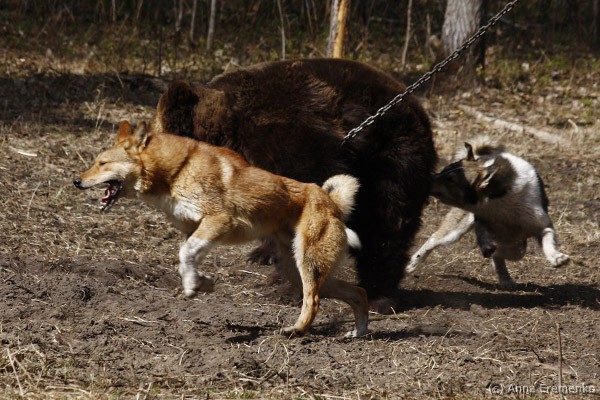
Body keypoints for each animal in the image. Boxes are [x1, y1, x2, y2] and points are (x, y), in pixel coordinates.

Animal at [73, 121, 368, 338]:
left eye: (102, 163)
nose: (76, 181)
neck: (176, 172)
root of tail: (331, 201)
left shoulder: (220, 220)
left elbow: (185, 253)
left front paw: (194, 285)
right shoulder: (196, 229)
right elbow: (187, 257)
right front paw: (200, 282)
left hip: (308, 265)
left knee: (313, 300)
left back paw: (296, 329)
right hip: (297, 270)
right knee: (358, 293)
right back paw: (359, 332)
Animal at [407, 137, 570, 288]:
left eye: (451, 180)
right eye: (444, 169)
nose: (425, 177)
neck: (502, 203)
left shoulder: (541, 225)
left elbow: (545, 241)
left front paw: (556, 257)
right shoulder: (480, 217)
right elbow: (489, 239)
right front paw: (488, 248)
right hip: (455, 230)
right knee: (434, 238)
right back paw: (413, 263)